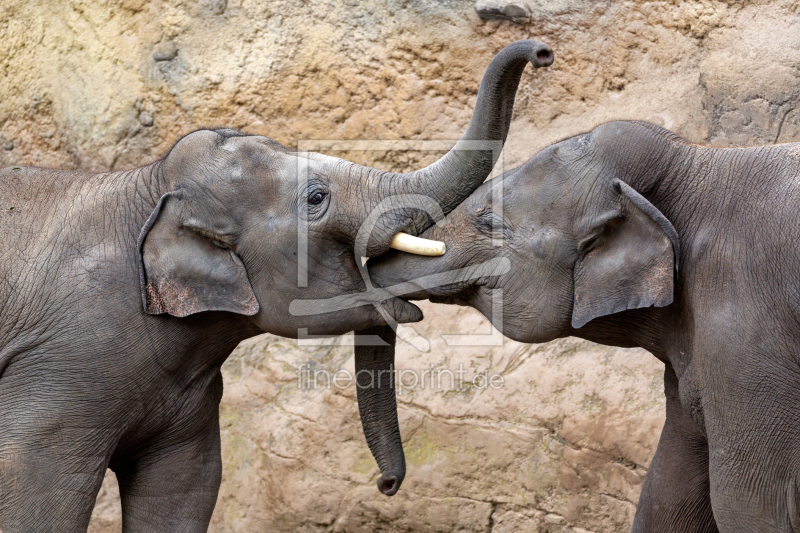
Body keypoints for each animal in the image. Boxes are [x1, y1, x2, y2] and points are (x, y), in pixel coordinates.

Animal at [0, 41, 552, 532]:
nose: (387, 485)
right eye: (316, 197)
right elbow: (37, 488)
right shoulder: (59, 372)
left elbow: (185, 487)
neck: (147, 184)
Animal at [368, 120, 800, 532]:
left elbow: (749, 505)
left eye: (488, 222)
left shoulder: (748, 334)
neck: (695, 159)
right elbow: (670, 492)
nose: (385, 484)